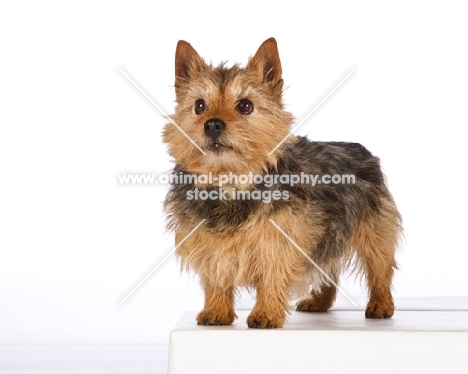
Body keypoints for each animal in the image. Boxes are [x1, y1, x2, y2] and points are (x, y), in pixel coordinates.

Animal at [163, 38, 400, 328]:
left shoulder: (280, 240)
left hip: (375, 234)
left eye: (244, 105)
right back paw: (319, 302)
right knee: (328, 266)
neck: (231, 182)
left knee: (380, 269)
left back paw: (381, 305)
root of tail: (362, 149)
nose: (213, 125)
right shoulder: (207, 242)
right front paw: (216, 312)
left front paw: (266, 314)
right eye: (199, 106)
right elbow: (217, 275)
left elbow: (272, 277)